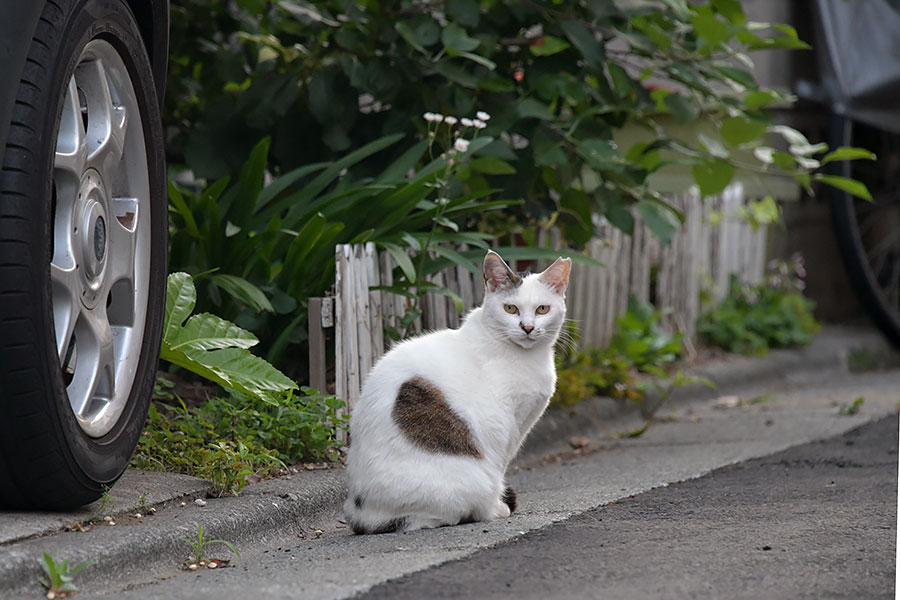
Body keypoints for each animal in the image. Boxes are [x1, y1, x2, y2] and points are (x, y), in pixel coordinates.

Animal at [344, 251, 568, 532]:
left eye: (542, 309)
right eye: (510, 308)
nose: (526, 327)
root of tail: (362, 512)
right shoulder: (509, 426)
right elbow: (501, 466)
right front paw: (497, 506)